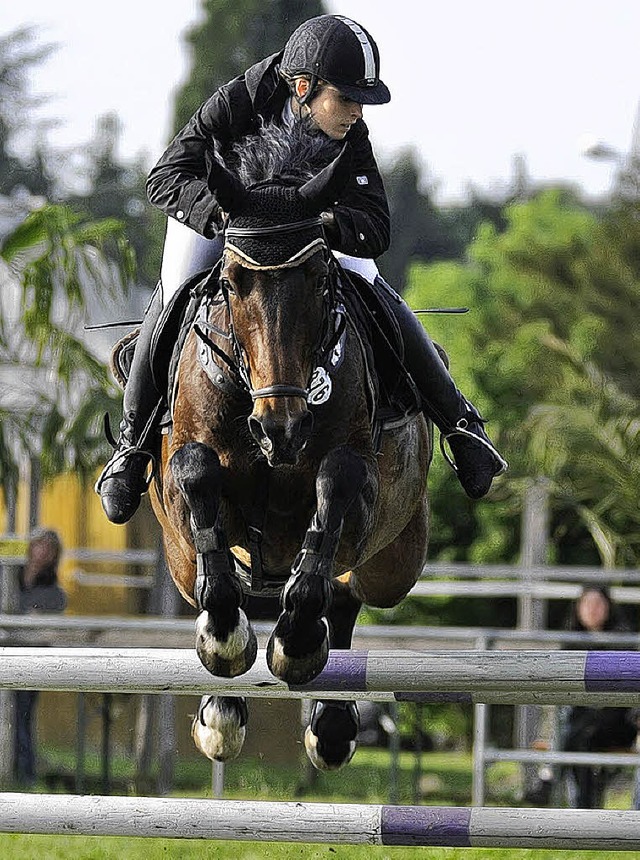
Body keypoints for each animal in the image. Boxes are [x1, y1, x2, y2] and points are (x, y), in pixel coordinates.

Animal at [149, 122, 430, 772]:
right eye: (231, 283)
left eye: (321, 278)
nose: (280, 428)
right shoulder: (187, 478)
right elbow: (197, 478)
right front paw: (225, 647)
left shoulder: (357, 482)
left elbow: (334, 491)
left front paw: (296, 646)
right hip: (179, 557)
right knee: (218, 581)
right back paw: (221, 710)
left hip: (395, 562)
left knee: (347, 593)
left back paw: (330, 724)